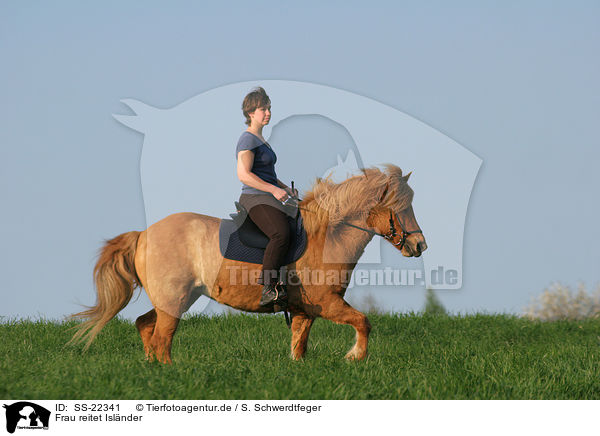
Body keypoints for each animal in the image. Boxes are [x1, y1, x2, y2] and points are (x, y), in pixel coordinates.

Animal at [70, 164, 426, 362]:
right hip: (174, 300)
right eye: (400, 206)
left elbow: (299, 348)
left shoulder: (304, 311)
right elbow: (364, 322)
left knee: (145, 326)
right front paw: (355, 357)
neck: (328, 236)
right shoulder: (328, 303)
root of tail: (144, 234)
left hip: (172, 299)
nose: (419, 245)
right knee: (161, 338)